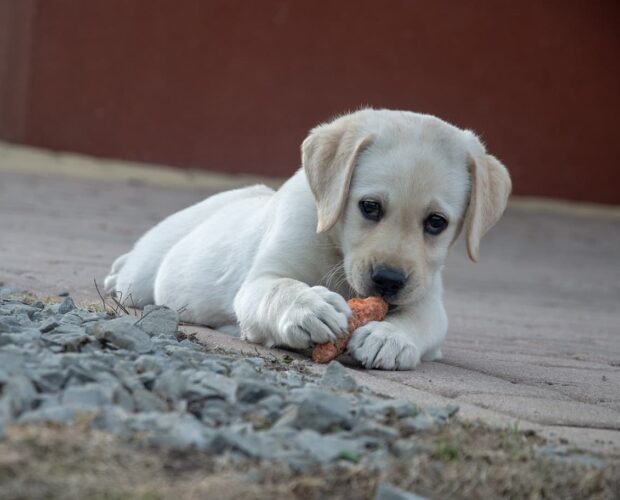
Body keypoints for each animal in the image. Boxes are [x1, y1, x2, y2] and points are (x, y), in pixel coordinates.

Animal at [105, 107, 508, 370]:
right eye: (369, 207)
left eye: (436, 222)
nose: (388, 280)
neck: (336, 250)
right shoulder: (260, 280)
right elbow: (280, 288)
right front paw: (309, 307)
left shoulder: (428, 298)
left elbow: (420, 320)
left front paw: (389, 337)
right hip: (143, 276)